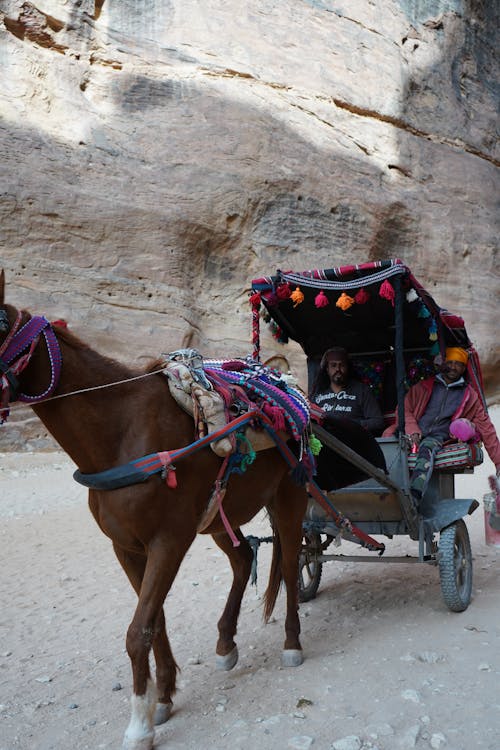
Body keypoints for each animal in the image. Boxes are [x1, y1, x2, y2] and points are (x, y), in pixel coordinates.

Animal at [0, 272, 310, 750]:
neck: (119, 436)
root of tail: (283, 384)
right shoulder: (127, 547)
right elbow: (155, 621)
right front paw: (162, 696)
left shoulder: (168, 541)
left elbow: (138, 630)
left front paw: (139, 724)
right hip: (219, 516)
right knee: (243, 559)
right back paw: (226, 644)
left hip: (289, 497)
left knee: (291, 562)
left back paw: (291, 644)